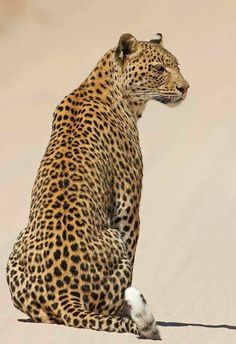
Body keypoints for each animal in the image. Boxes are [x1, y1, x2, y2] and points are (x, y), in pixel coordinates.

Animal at [6, 33, 189, 340]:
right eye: (159, 69)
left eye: (176, 65)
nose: (185, 87)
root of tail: (65, 294)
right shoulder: (127, 205)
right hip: (113, 238)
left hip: (16, 247)